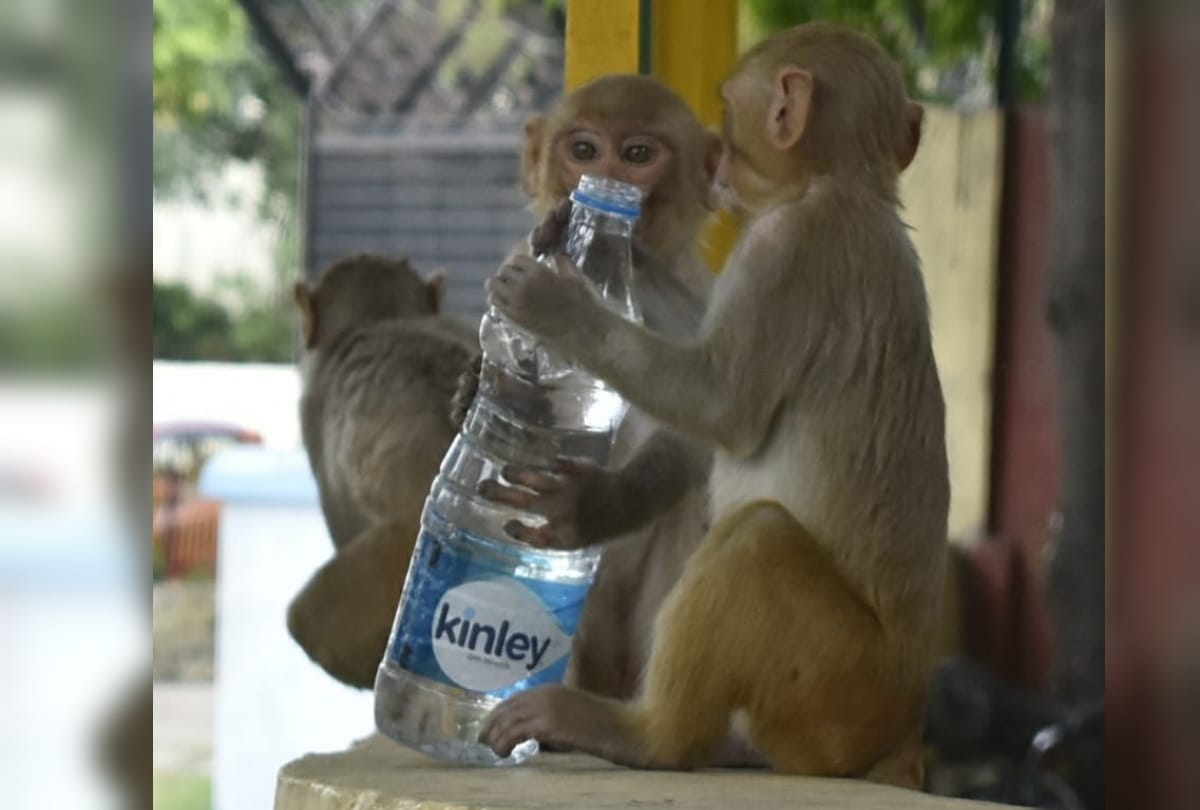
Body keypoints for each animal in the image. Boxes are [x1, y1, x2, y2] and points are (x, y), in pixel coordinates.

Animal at [479, 24, 945, 788]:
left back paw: (644, 736)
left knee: (756, 539)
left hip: (839, 687)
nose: (722, 155)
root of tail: (903, 724)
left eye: (638, 154)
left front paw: (564, 302)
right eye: (584, 150)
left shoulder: (783, 250)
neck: (842, 188)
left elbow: (717, 409)